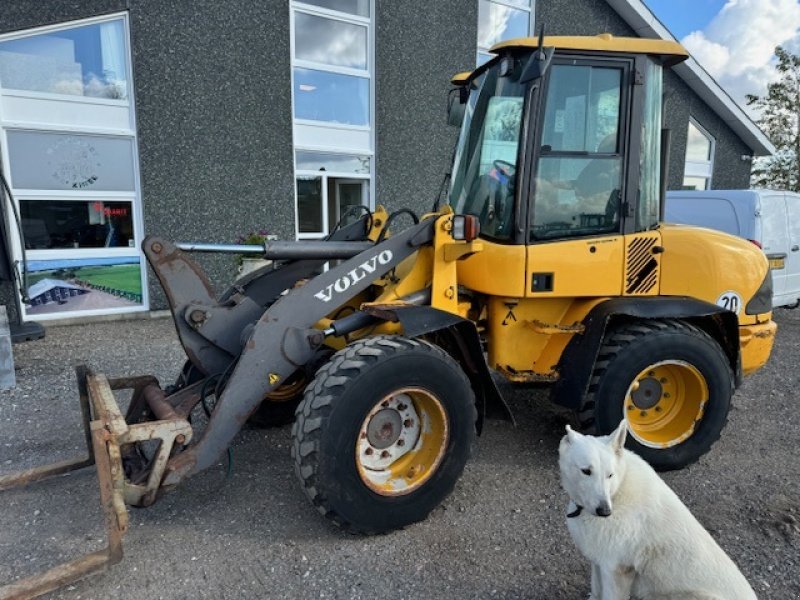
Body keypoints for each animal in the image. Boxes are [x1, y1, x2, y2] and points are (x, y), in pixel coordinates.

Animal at [556, 422, 756, 600]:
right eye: (586, 471)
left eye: (610, 475)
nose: (605, 511)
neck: (617, 492)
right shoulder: (599, 562)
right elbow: (596, 592)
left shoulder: (616, 569)